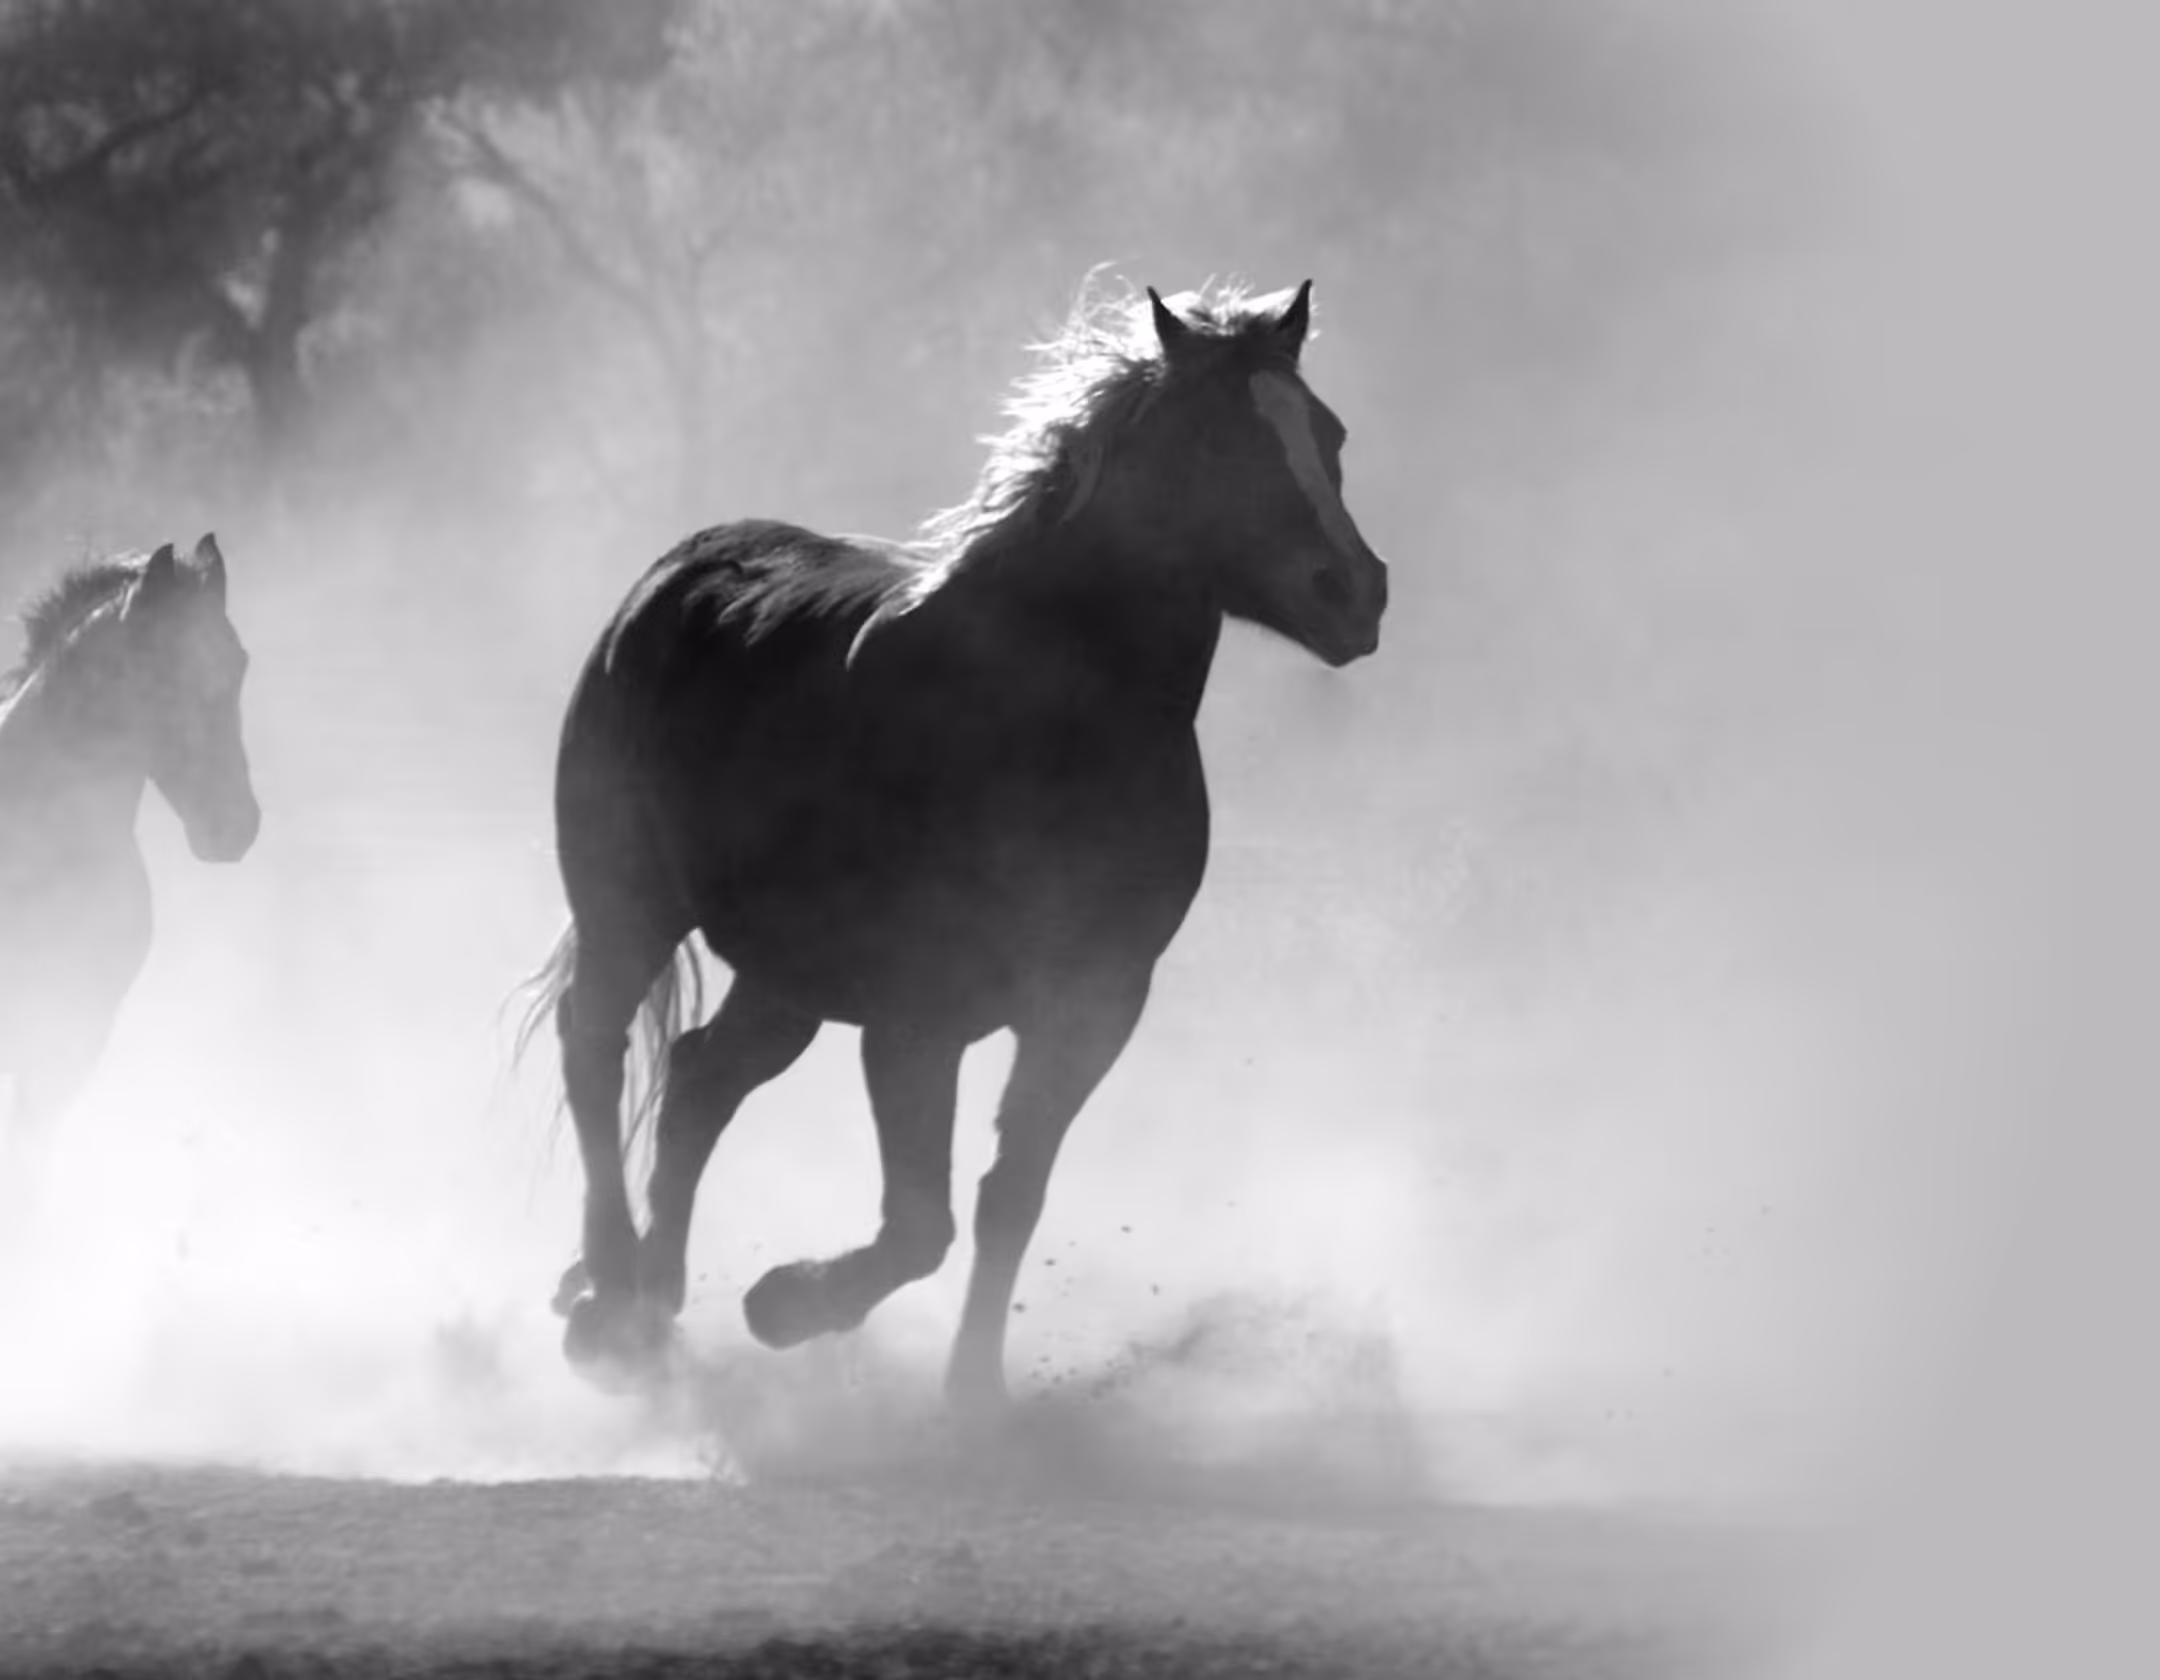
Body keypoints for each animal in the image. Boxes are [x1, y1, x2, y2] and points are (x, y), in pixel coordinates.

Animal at [523, 279, 1388, 1415]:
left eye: (1327, 434)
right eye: (1216, 441)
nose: (1355, 592)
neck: (1045, 723)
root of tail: (673, 577)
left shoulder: (1093, 1004)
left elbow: (1007, 1197)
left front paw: (972, 1394)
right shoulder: (916, 1017)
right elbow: (920, 1223)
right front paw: (786, 1304)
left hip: (787, 976)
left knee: (700, 1078)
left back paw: (655, 1305)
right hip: (630, 905)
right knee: (596, 1048)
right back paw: (613, 1299)